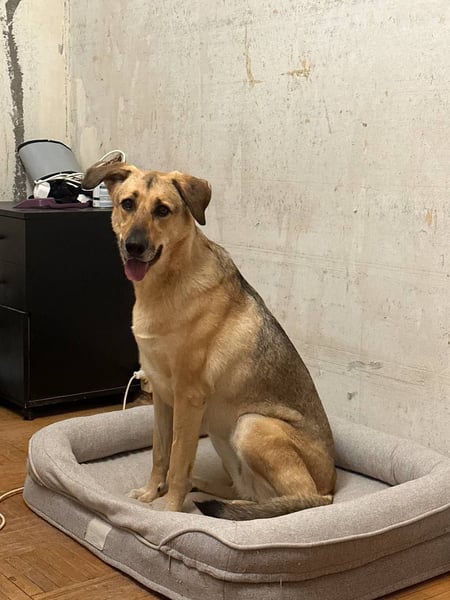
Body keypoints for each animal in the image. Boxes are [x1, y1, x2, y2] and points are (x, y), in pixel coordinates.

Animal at [82, 162, 336, 520]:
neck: (165, 285)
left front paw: (170, 513)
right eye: (127, 204)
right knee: (249, 492)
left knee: (297, 501)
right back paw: (212, 492)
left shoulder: (188, 399)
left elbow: (177, 461)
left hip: (251, 425)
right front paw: (150, 493)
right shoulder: (162, 397)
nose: (133, 246)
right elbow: (160, 453)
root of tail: (332, 488)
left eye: (162, 210)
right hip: (220, 433)